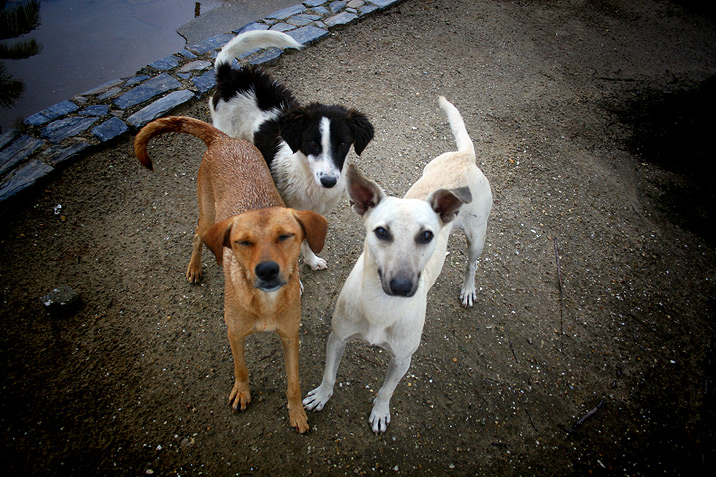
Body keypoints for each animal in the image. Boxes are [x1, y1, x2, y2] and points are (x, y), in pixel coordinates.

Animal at [134, 115, 328, 432]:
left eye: (286, 236)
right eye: (243, 242)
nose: (267, 270)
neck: (264, 303)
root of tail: (223, 139)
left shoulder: (290, 337)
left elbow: (294, 384)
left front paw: (297, 412)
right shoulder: (234, 334)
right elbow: (241, 368)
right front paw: (242, 392)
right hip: (207, 215)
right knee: (197, 236)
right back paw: (194, 267)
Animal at [208, 30, 374, 268]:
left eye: (342, 143)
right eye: (312, 143)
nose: (329, 181)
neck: (308, 180)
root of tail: (230, 76)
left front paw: (311, 260)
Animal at [302, 96, 492, 432]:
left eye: (427, 235)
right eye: (380, 232)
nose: (403, 286)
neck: (380, 306)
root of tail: (464, 156)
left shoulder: (402, 359)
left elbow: (386, 390)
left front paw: (380, 412)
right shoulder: (337, 338)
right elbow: (329, 374)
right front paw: (322, 396)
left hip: (477, 236)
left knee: (472, 264)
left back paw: (468, 289)